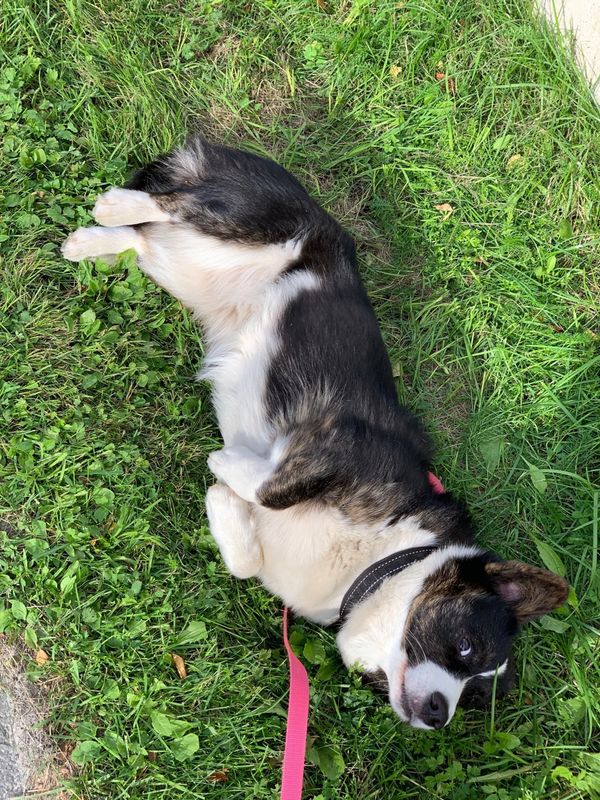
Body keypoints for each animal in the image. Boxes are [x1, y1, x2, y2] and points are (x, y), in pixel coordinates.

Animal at [61, 136, 569, 730]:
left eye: (475, 695)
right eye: (465, 646)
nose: (437, 715)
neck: (377, 564)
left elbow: (245, 557)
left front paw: (225, 507)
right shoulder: (342, 444)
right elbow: (268, 485)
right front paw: (228, 469)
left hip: (184, 271)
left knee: (146, 240)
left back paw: (91, 242)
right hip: (254, 219)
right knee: (172, 204)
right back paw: (113, 207)